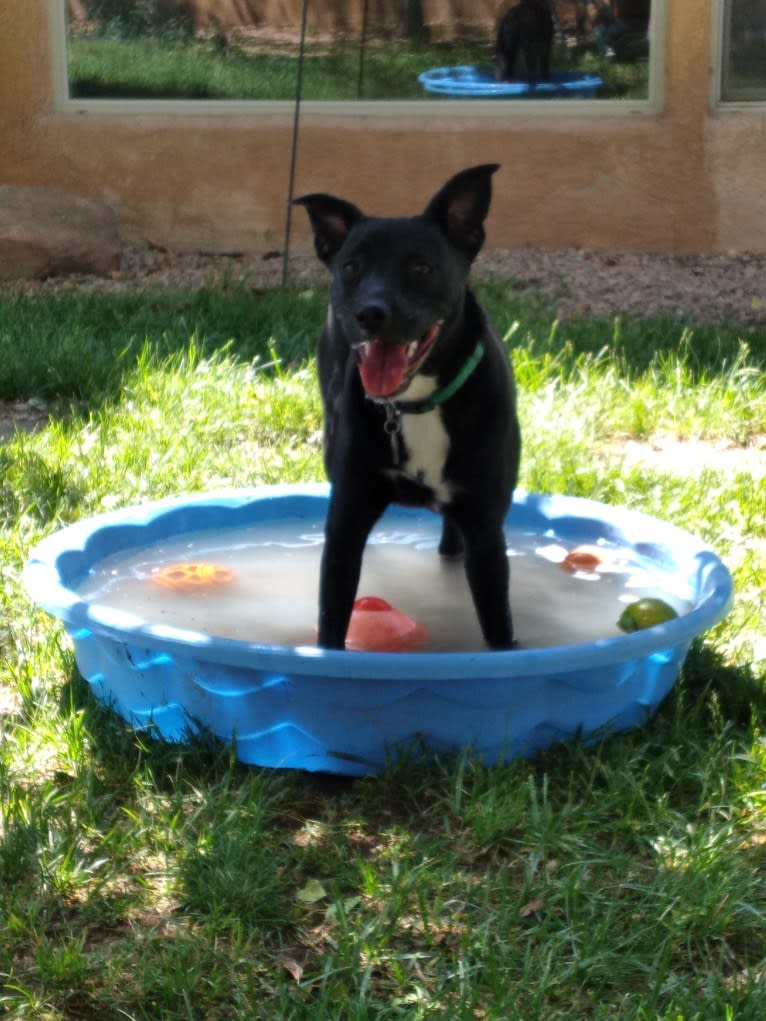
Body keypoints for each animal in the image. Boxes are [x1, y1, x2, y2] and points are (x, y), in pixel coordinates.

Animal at [294, 163, 522, 649]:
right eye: (351, 266)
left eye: (420, 267)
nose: (369, 314)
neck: (416, 404)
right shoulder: (346, 522)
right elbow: (332, 620)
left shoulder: (485, 531)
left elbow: (498, 629)